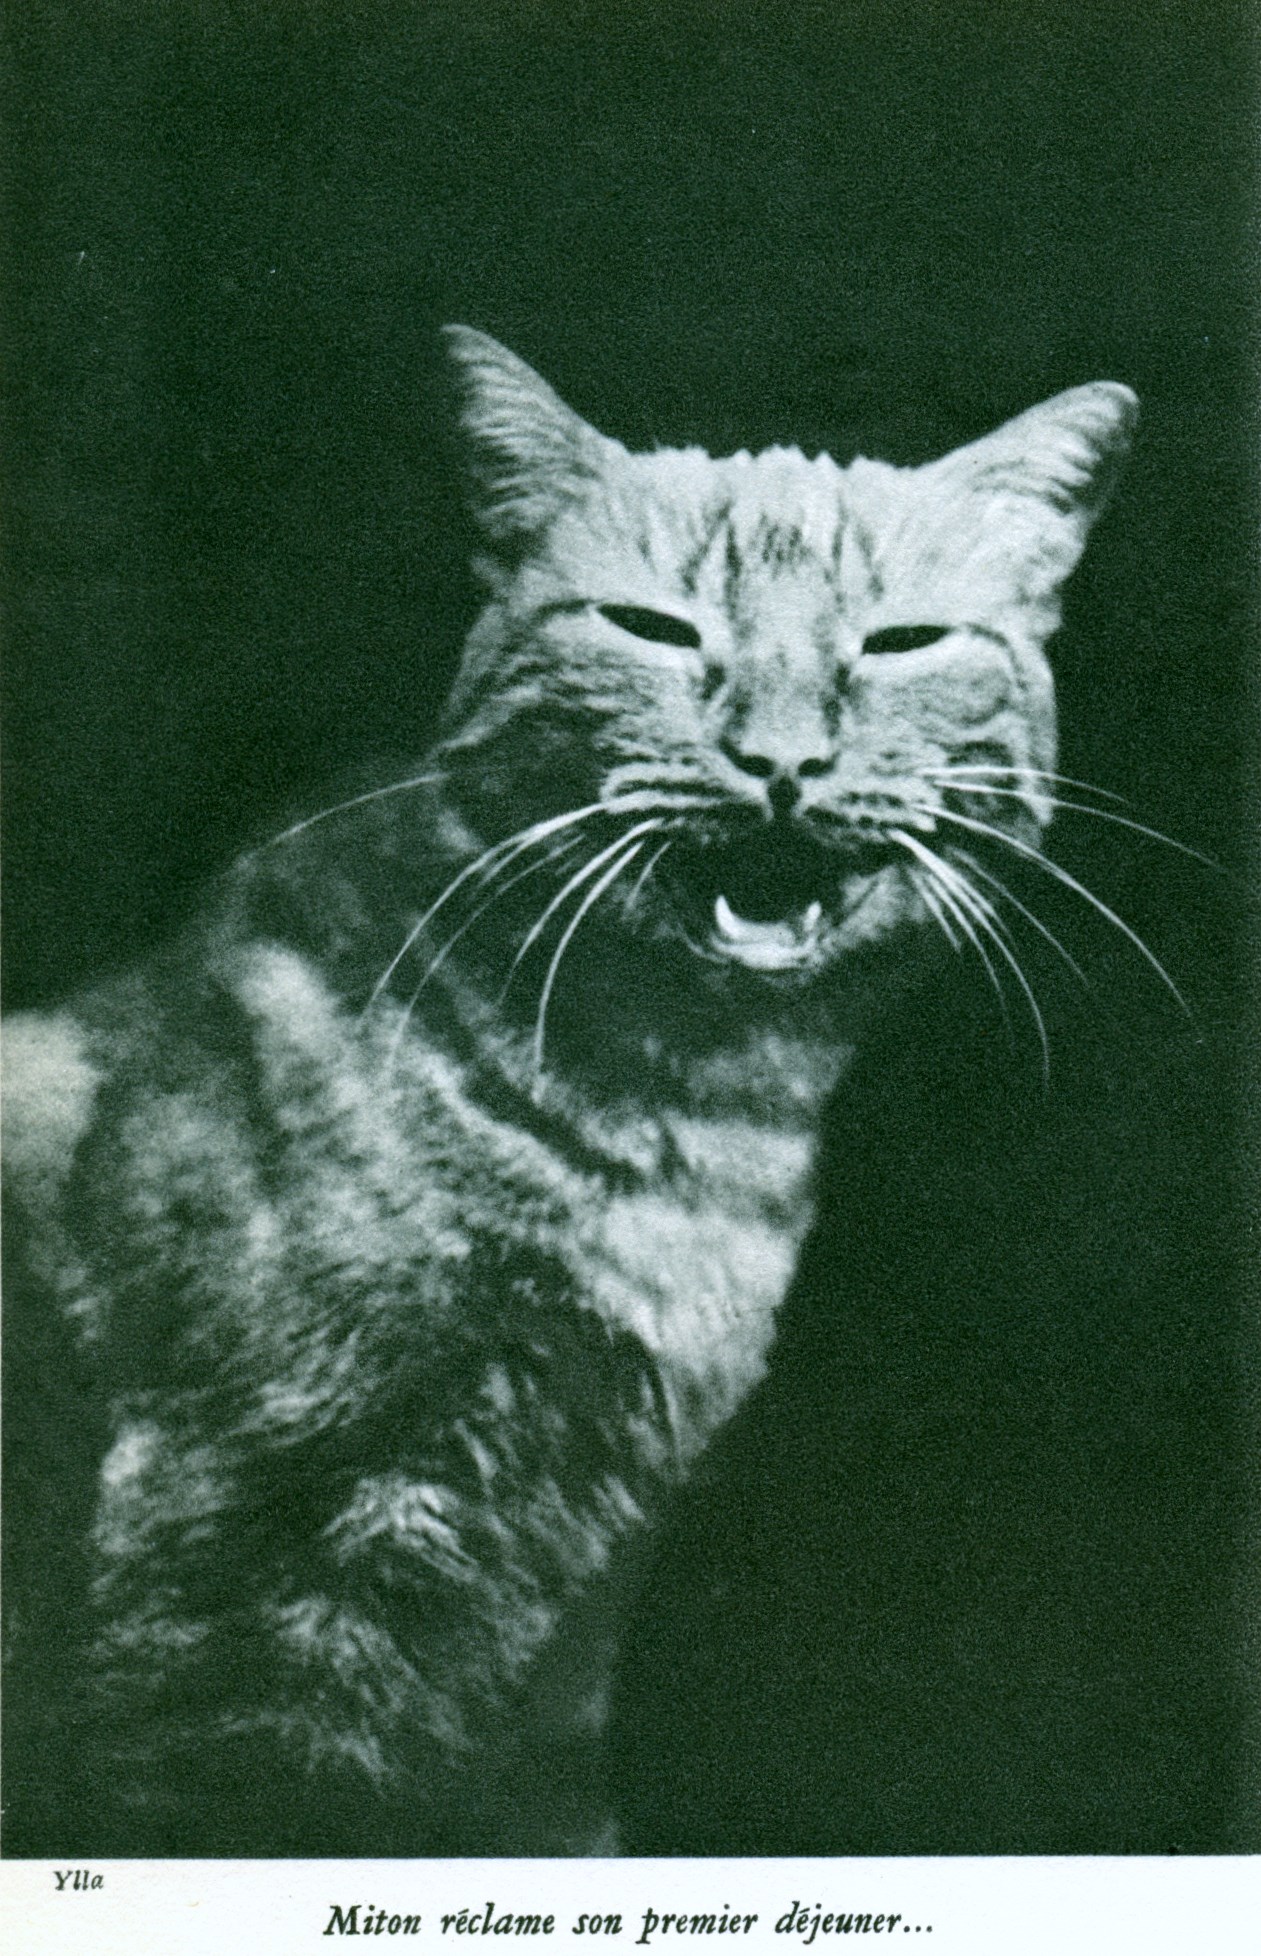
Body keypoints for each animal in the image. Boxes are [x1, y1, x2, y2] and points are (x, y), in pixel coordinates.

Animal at [1, 328, 1136, 1857]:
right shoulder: (238, 1561)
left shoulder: (571, 1630)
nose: (783, 761)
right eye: (654, 632)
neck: (689, 1122)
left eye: (900, 644)